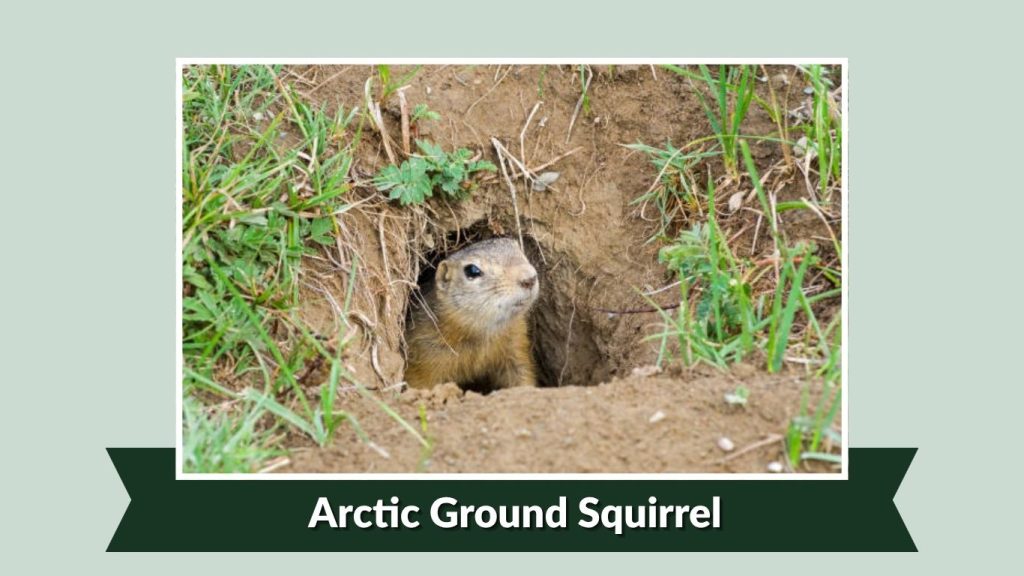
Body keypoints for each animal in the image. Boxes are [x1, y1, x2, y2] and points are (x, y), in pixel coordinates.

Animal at [404, 237, 540, 392]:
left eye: (518, 247)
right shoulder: (423, 359)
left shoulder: (516, 344)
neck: (482, 333)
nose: (529, 278)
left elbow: (521, 373)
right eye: (472, 270)